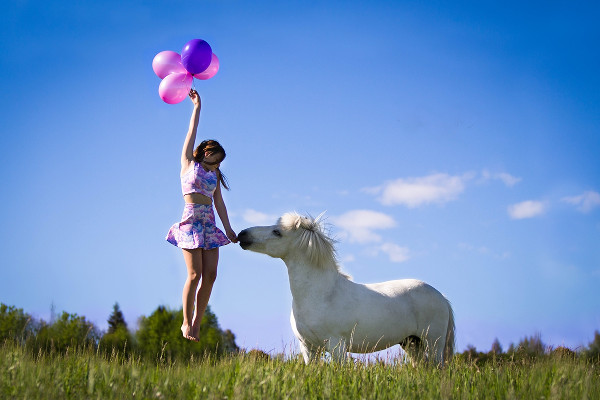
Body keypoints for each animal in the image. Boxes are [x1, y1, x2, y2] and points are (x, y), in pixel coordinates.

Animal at [238, 212, 454, 366]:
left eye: (277, 232)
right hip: (412, 343)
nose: (242, 235)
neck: (320, 295)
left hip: (433, 343)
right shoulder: (308, 348)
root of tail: (441, 297)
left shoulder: (337, 346)